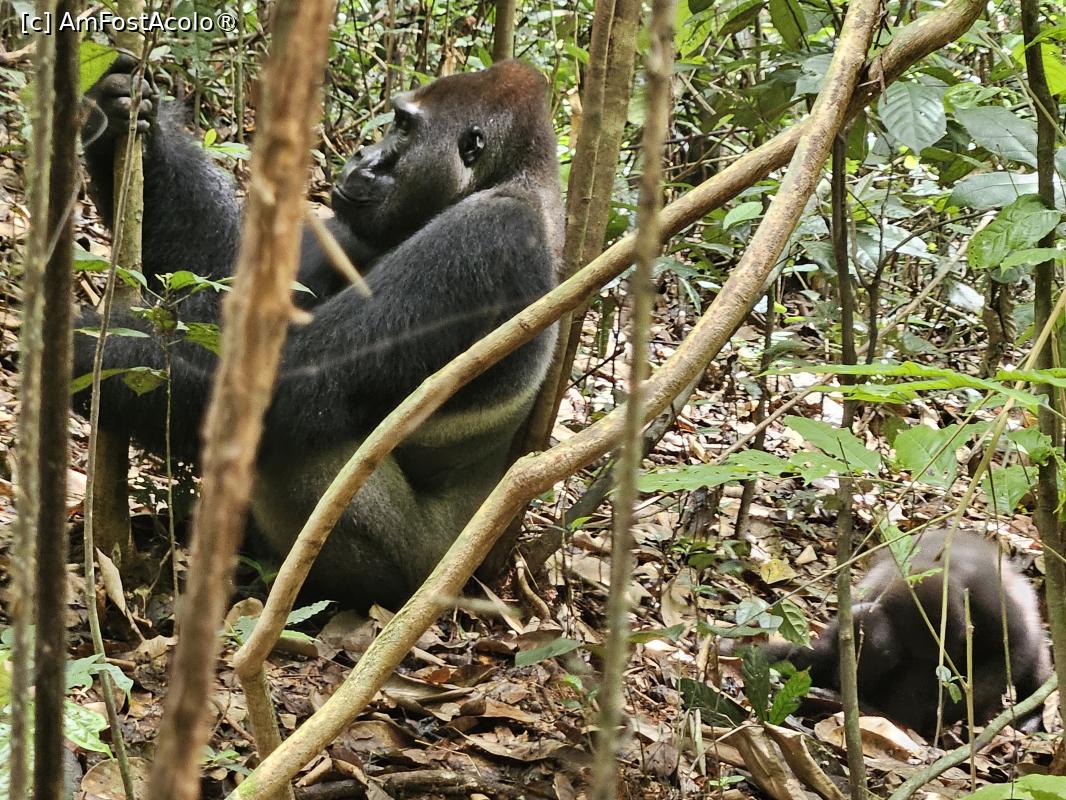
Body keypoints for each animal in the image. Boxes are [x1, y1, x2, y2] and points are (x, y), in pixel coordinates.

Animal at [73, 55, 563, 609]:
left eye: (403, 127)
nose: (362, 155)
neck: (515, 177)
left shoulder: (485, 235)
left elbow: (289, 379)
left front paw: (79, 349)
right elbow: (235, 278)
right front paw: (121, 109)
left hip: (424, 575)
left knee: (299, 451)